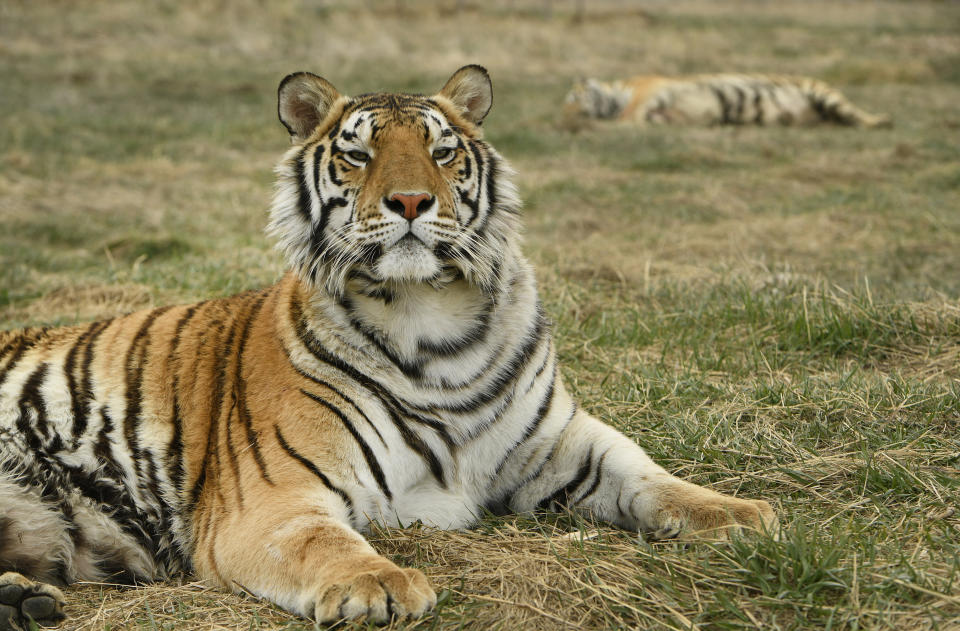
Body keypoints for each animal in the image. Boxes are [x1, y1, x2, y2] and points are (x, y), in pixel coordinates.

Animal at [0, 64, 780, 628]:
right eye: (358, 154)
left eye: (441, 151)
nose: (410, 201)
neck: (432, 324)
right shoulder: (273, 500)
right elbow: (324, 540)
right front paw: (378, 583)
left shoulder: (557, 443)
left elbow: (647, 473)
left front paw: (741, 513)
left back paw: (25, 599)